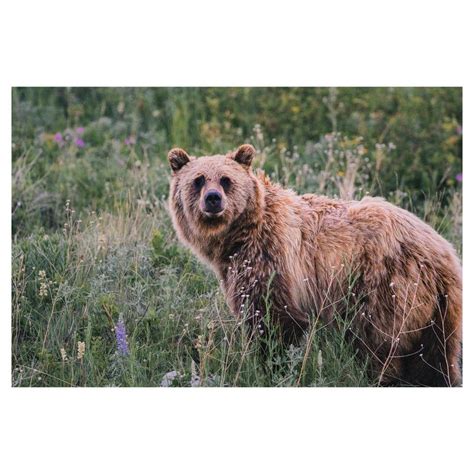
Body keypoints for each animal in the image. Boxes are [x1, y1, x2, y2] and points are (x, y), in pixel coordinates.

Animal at [168, 143, 462, 386]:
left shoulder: (273, 258)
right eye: (198, 180)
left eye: (226, 180)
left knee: (378, 343)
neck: (239, 236)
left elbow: (273, 318)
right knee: (437, 357)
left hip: (385, 286)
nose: (213, 199)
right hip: (441, 312)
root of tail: (442, 251)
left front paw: (272, 365)